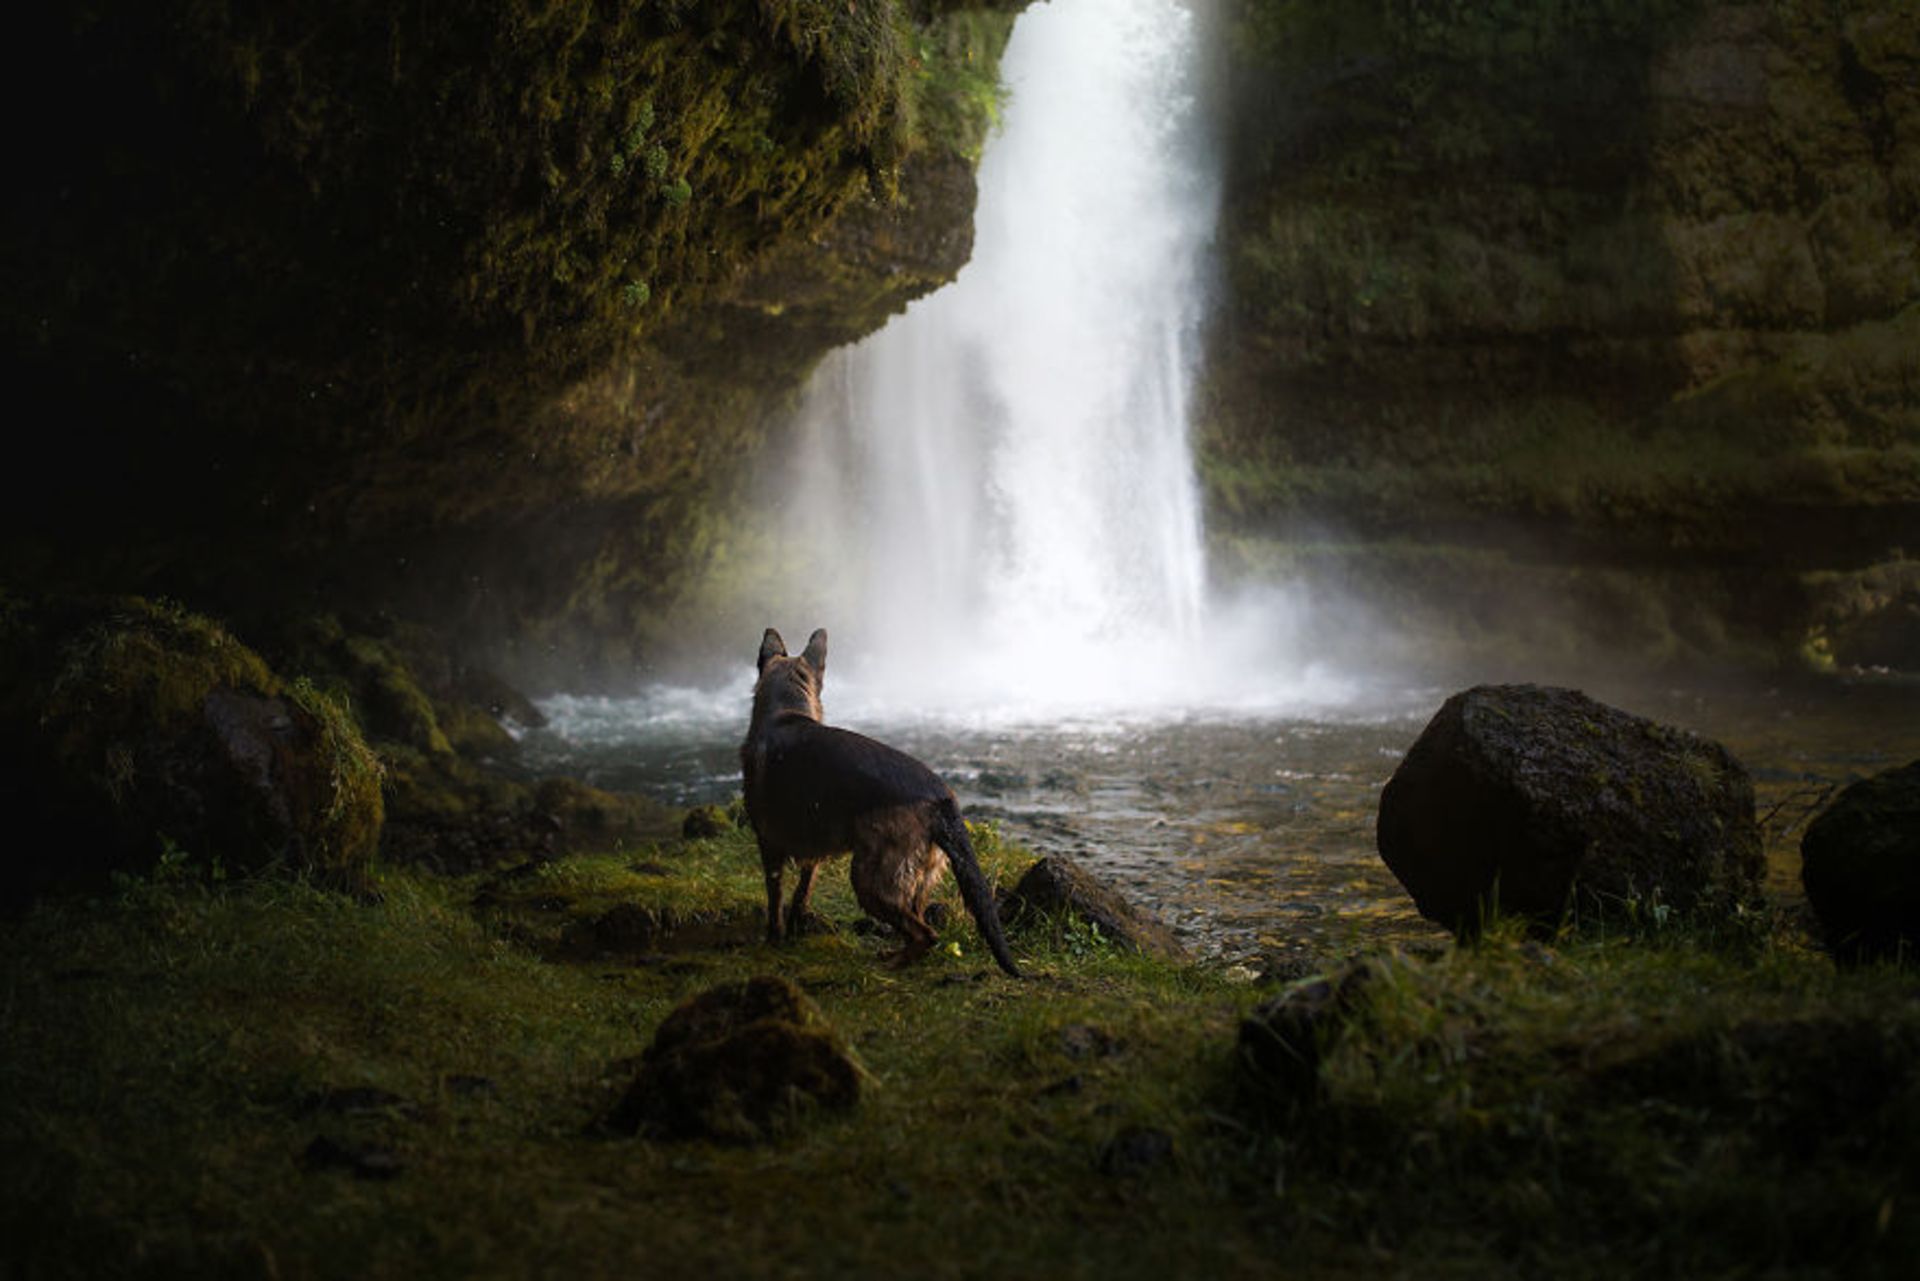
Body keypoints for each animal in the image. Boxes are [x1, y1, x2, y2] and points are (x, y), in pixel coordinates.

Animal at [741, 626, 1029, 975]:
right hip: (917, 877)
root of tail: (942, 798)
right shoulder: (813, 852)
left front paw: (774, 939)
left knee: (926, 934)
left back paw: (892, 963)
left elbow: (775, 897)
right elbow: (802, 892)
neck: (785, 712)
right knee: (919, 924)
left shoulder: (768, 843)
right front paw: (796, 927)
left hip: (869, 879)